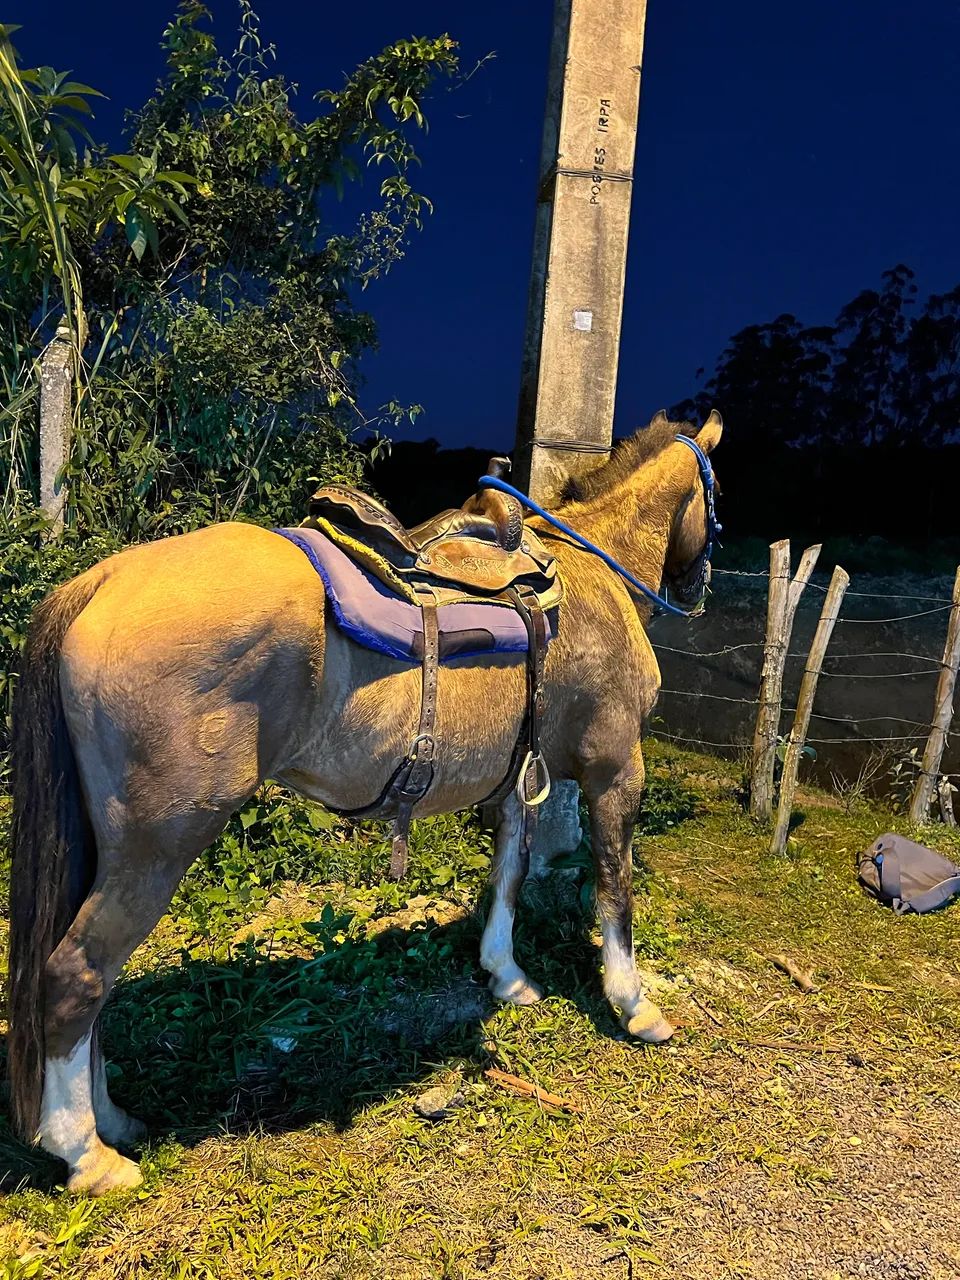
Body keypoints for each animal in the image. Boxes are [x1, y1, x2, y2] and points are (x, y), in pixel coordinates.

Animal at [7, 408, 722, 1194]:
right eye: (716, 496)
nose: (699, 586)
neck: (594, 575)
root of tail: (103, 578)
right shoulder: (616, 768)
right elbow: (614, 890)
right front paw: (635, 1006)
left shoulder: (516, 779)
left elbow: (508, 872)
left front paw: (506, 975)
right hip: (156, 848)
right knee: (77, 975)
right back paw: (87, 1153)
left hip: (103, 849)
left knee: (91, 985)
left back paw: (113, 1120)